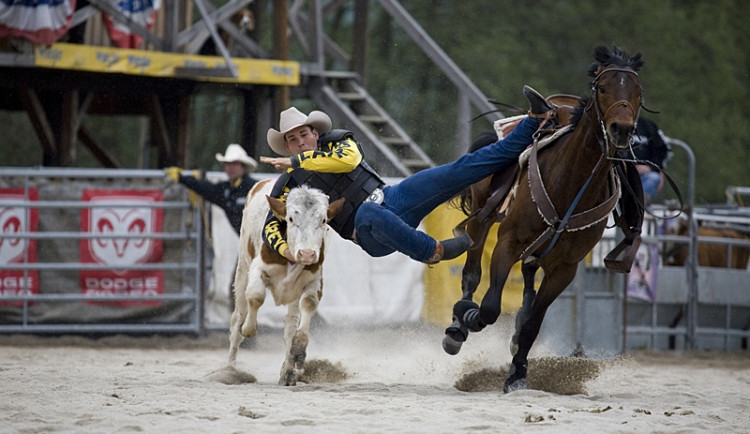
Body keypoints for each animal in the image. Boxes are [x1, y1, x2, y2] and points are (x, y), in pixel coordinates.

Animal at [444, 45, 648, 392]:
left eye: (637, 91)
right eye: (603, 87)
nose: (621, 129)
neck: (570, 183)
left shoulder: (565, 267)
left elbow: (533, 324)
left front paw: (517, 373)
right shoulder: (508, 242)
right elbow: (490, 306)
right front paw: (468, 318)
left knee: (528, 277)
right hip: (483, 217)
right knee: (472, 271)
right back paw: (458, 327)